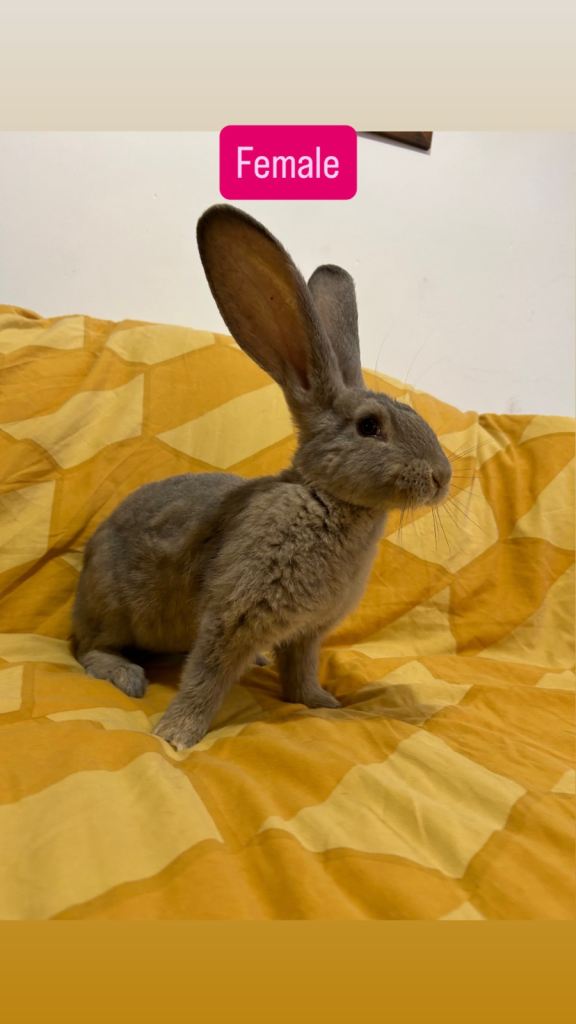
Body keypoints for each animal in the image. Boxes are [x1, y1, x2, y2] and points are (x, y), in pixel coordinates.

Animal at [71, 204, 452, 750]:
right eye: (369, 427)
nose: (443, 477)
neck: (324, 498)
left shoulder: (308, 632)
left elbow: (300, 670)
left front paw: (321, 702)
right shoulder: (234, 615)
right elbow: (206, 676)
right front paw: (176, 735)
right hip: (112, 608)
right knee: (87, 649)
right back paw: (127, 675)